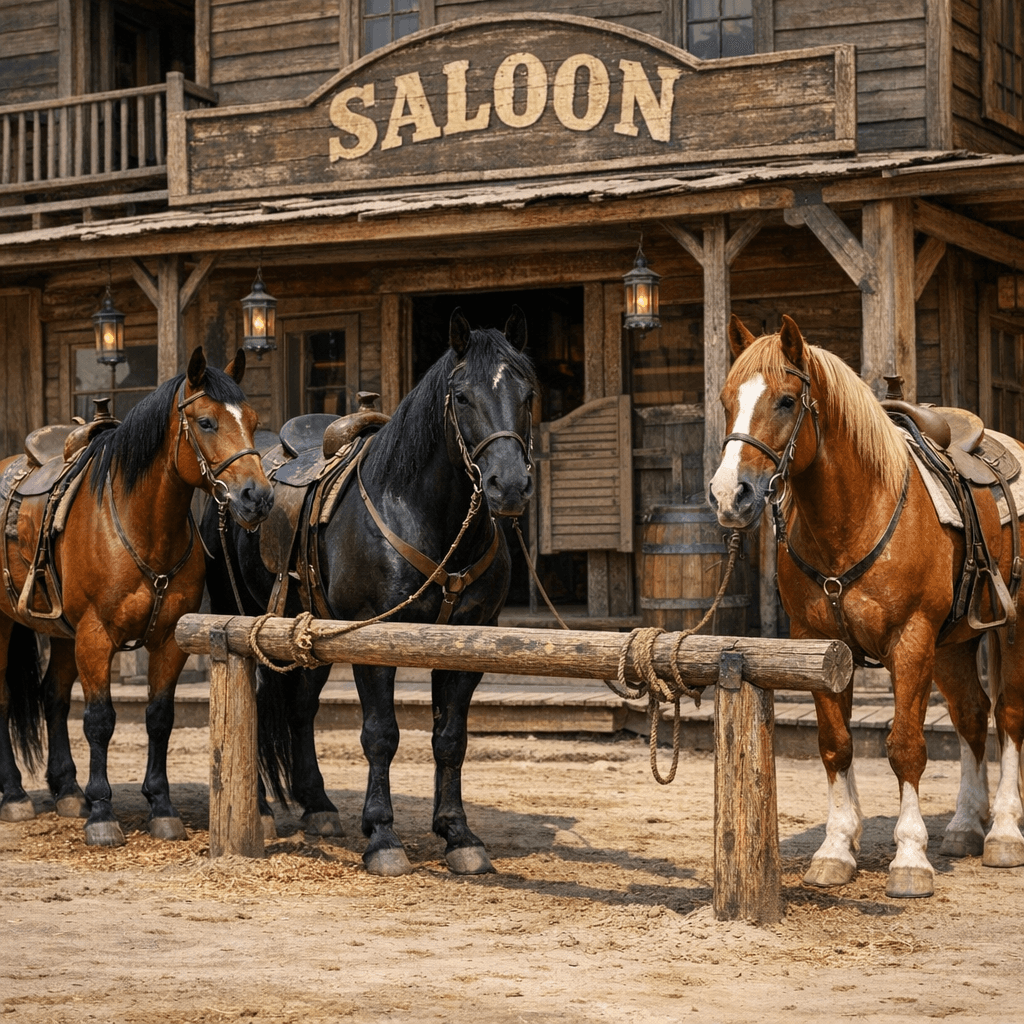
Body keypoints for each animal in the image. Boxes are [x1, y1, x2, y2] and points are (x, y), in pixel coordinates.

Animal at [0, 347, 274, 846]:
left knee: (53, 697)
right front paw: (102, 814)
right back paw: (14, 795)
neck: (140, 526)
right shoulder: (95, 637)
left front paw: (161, 806)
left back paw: (68, 791)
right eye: (206, 422)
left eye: (252, 419)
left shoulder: (167, 641)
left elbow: (159, 717)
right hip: (7, 625)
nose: (256, 496)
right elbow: (100, 720)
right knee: (6, 699)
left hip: (63, 636)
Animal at [201, 308, 536, 876]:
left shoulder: (467, 644)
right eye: (462, 396)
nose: (508, 486)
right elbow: (381, 735)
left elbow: (451, 739)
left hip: (309, 635)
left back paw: (317, 805)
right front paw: (382, 837)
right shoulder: (371, 642)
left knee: (300, 710)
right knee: (256, 700)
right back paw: (264, 812)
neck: (422, 514)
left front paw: (459, 835)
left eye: (528, 393)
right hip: (240, 620)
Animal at [708, 314, 1024, 898]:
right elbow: (835, 744)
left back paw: (1005, 834)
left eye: (786, 400)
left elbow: (905, 747)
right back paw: (965, 826)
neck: (855, 515)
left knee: (1009, 714)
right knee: (972, 716)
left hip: (1010, 629)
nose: (728, 495)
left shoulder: (911, 641)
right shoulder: (817, 645)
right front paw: (836, 849)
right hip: (955, 642)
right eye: (725, 399)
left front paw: (910, 859)